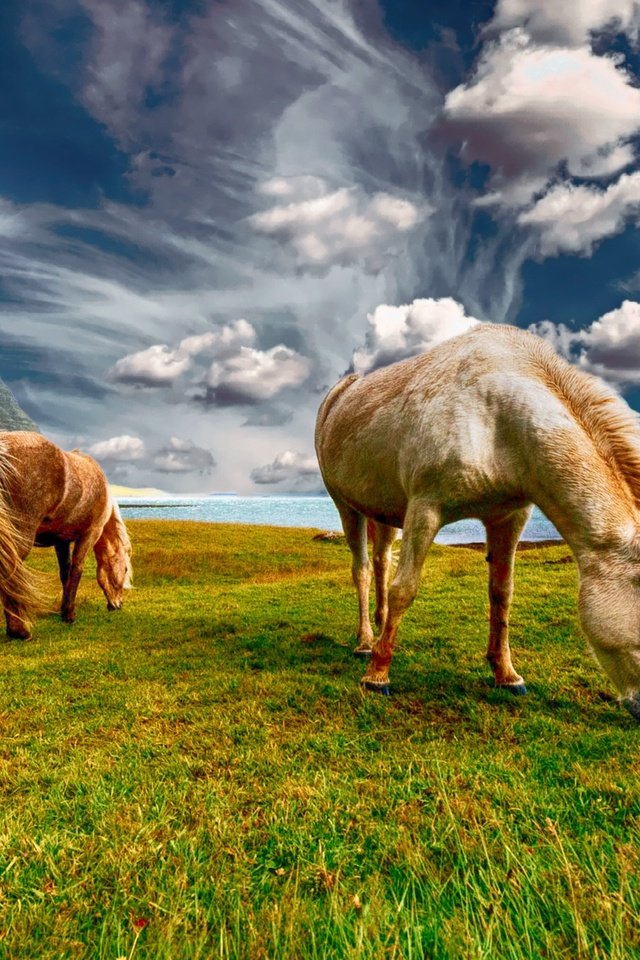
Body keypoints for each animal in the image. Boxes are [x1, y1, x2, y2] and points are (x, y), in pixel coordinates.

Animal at [0, 432, 132, 640]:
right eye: (125, 569)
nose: (118, 604)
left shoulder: (61, 541)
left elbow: (65, 573)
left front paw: (63, 609)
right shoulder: (90, 534)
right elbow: (77, 570)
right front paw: (69, 614)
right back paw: (19, 630)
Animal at [316, 322, 640, 720]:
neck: (498, 418)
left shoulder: (508, 517)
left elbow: (501, 595)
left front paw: (506, 674)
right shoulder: (425, 509)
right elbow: (404, 589)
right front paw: (377, 676)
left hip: (384, 510)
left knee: (381, 561)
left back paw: (378, 629)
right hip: (346, 505)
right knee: (362, 569)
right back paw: (365, 643)